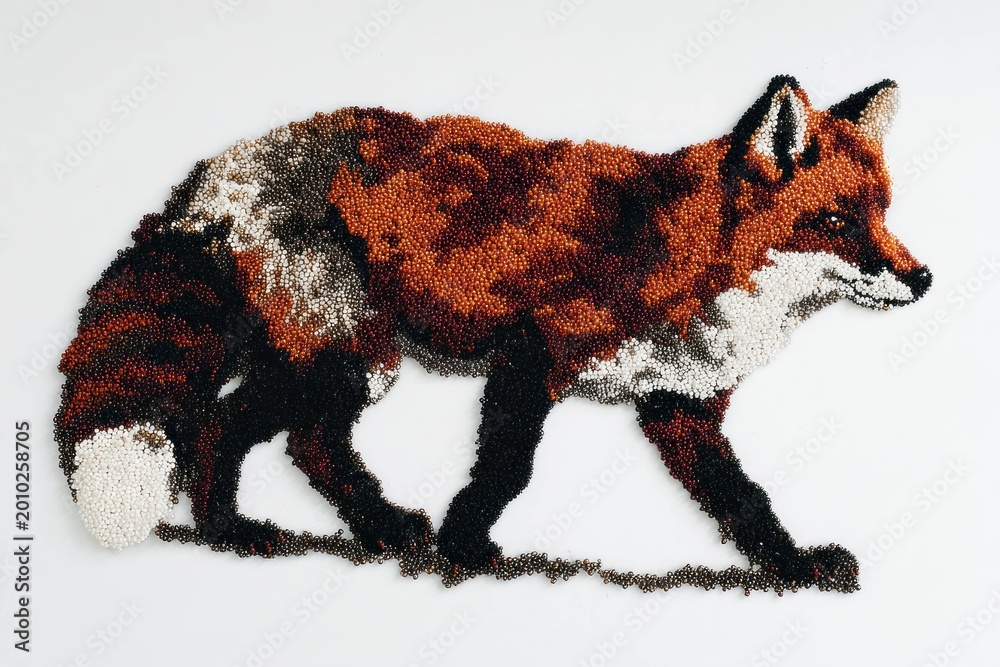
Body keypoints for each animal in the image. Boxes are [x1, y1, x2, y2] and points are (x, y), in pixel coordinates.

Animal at [56, 75, 931, 591]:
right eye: (837, 221)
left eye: (885, 214)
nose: (922, 279)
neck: (679, 253)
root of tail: (217, 172)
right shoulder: (532, 352)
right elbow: (507, 468)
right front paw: (465, 545)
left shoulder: (676, 403)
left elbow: (745, 500)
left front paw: (795, 566)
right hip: (344, 357)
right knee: (231, 424)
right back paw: (238, 534)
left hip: (350, 360)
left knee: (298, 440)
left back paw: (346, 529)